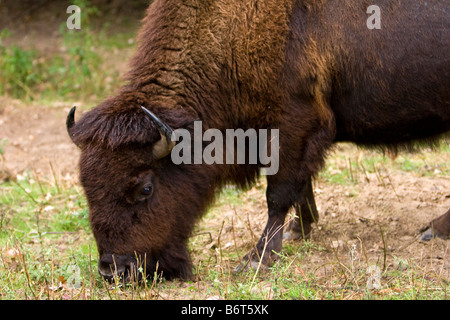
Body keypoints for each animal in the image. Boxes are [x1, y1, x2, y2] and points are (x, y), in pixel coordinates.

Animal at [65, 0, 448, 282]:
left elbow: (277, 193)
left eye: (146, 188)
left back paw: (433, 231)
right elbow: (301, 186)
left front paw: (257, 258)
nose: (115, 270)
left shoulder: (292, 125)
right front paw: (300, 229)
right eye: (86, 186)